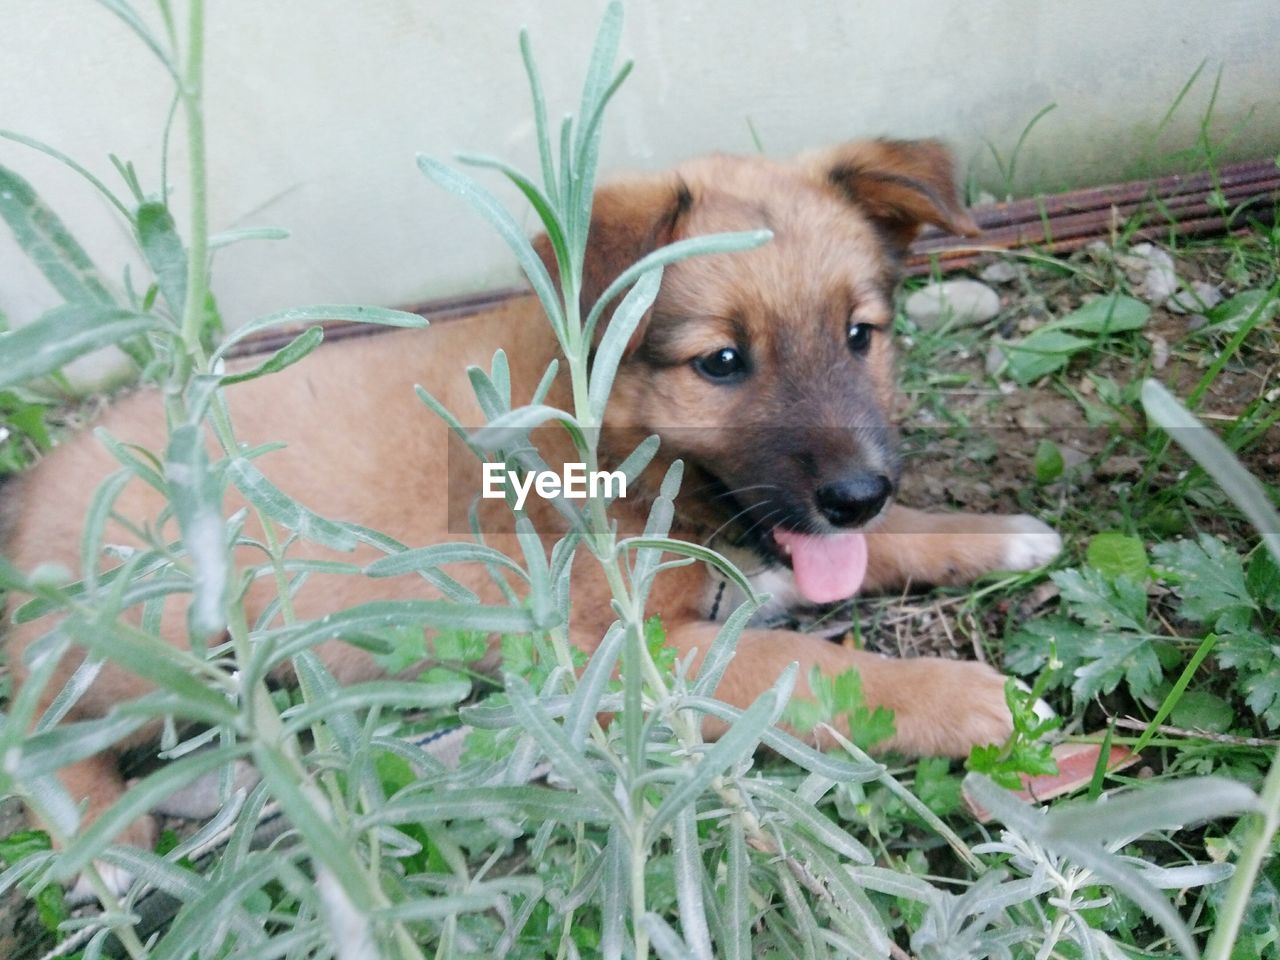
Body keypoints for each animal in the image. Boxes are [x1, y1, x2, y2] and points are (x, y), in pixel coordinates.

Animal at [0, 136, 1059, 849]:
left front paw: (996, 533)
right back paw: (115, 846)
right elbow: (815, 668)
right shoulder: (630, 649)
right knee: (45, 735)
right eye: (721, 362)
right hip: (158, 634)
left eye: (859, 335)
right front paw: (977, 699)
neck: (624, 451)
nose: (858, 492)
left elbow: (882, 553)